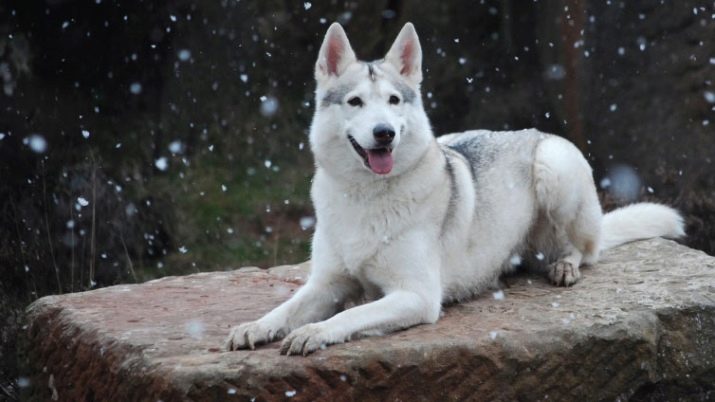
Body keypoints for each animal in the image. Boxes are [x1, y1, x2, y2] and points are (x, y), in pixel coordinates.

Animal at [225, 22, 688, 354]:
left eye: (394, 101)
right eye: (355, 102)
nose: (384, 133)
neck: (367, 196)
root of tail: (534, 130)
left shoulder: (416, 296)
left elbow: (343, 318)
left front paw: (315, 332)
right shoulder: (325, 283)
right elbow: (286, 307)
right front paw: (256, 326)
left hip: (555, 169)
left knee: (585, 249)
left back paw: (564, 265)